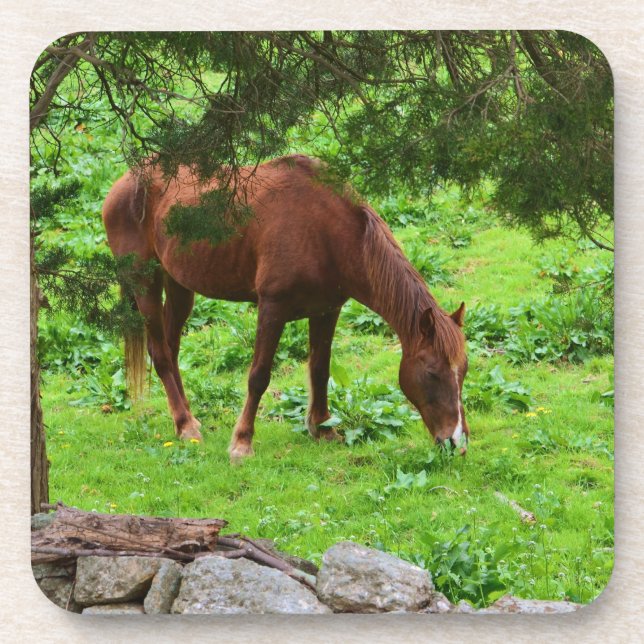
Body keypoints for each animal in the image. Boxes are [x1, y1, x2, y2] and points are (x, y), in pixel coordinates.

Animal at [102, 154, 469, 462]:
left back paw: (186, 419)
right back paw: (185, 425)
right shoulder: (272, 308)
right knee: (161, 353)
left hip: (179, 285)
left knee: (171, 347)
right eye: (432, 373)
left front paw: (321, 428)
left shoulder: (326, 310)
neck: (328, 232)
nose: (457, 442)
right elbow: (258, 376)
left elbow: (320, 369)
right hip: (144, 281)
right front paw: (242, 443)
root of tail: (123, 184)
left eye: (463, 371)